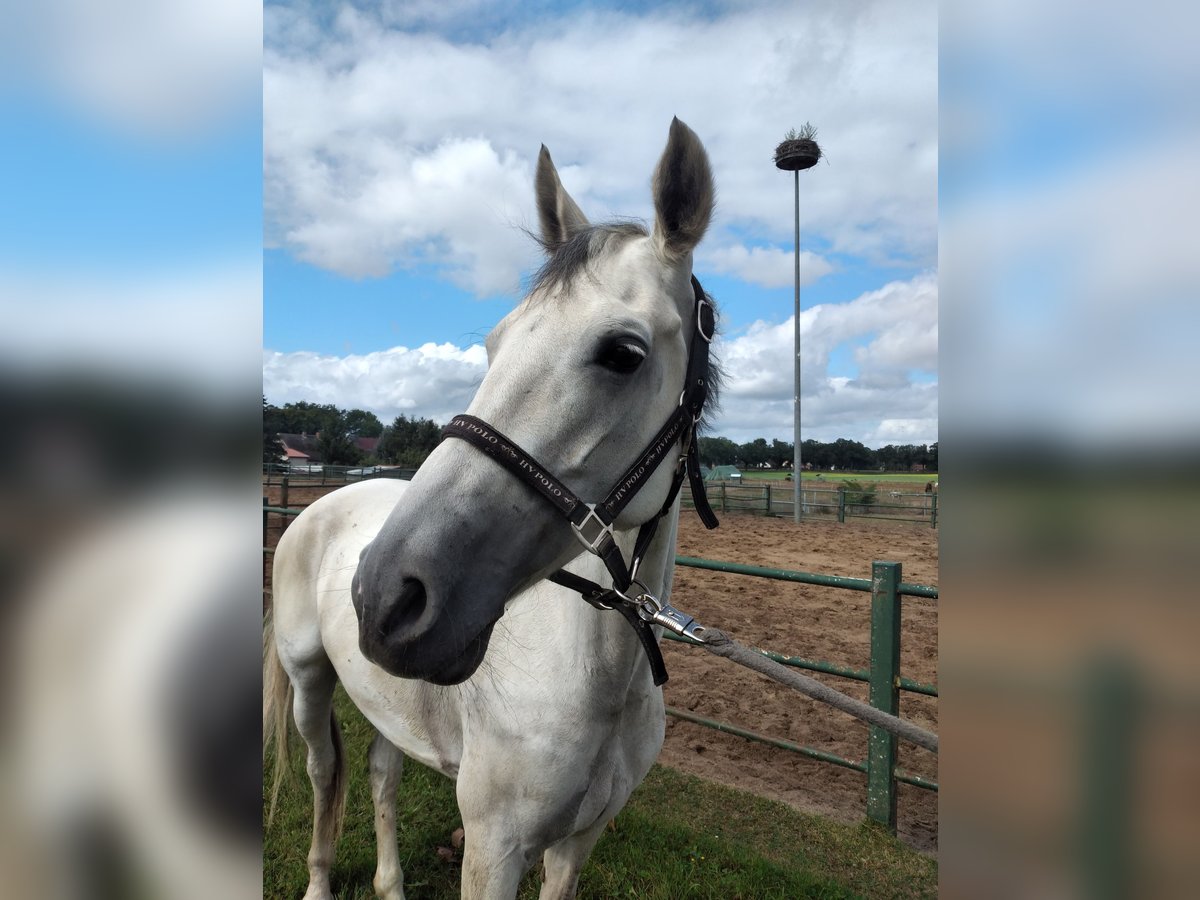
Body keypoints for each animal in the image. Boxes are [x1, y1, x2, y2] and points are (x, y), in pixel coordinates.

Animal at [267, 120, 715, 900]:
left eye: (623, 353)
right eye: (495, 344)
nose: (385, 596)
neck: (599, 681)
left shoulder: (575, 847)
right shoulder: (494, 847)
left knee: (381, 774)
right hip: (308, 682)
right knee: (325, 776)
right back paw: (320, 882)